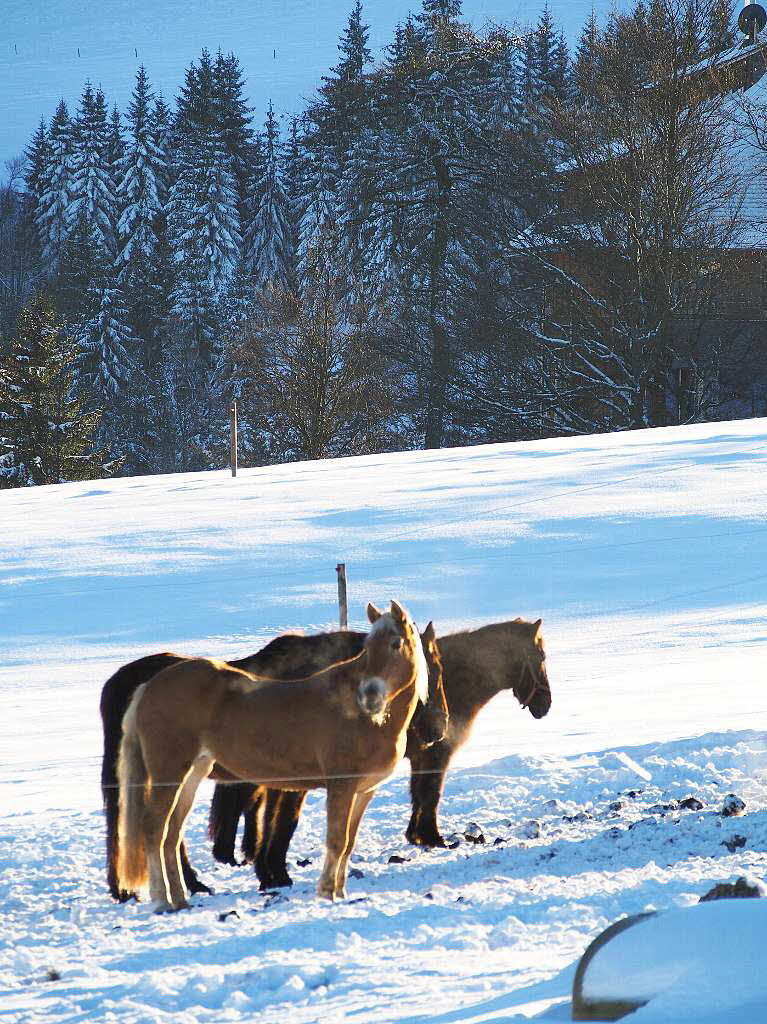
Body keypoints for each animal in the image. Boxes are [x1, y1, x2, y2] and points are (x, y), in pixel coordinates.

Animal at [118, 598, 430, 913]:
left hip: (193, 774)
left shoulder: (364, 791)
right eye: (367, 646)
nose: (369, 696)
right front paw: (326, 893)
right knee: (154, 830)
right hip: (168, 775)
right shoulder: (341, 786)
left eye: (395, 644)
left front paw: (340, 892)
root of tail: (148, 686)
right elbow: (336, 840)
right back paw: (162, 900)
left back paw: (180, 899)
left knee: (171, 835)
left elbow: (349, 842)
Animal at [209, 614, 548, 888]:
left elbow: (420, 794)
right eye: (541, 655)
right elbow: (430, 794)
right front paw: (432, 837)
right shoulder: (436, 755)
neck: (458, 683)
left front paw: (417, 835)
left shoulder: (423, 756)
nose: (545, 705)